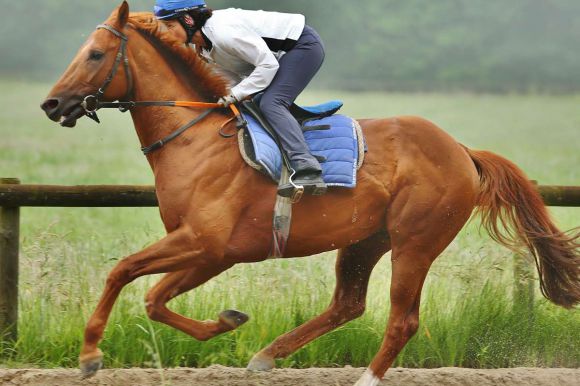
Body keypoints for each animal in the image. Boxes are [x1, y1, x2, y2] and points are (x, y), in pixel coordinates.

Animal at [38, 3, 576, 386]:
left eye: (94, 54)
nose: (51, 104)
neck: (194, 138)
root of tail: (462, 150)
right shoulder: (213, 252)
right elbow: (152, 297)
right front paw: (229, 320)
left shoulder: (205, 243)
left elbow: (125, 272)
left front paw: (89, 355)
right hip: (365, 239)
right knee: (348, 305)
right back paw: (266, 355)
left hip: (416, 241)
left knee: (402, 319)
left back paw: (364, 379)